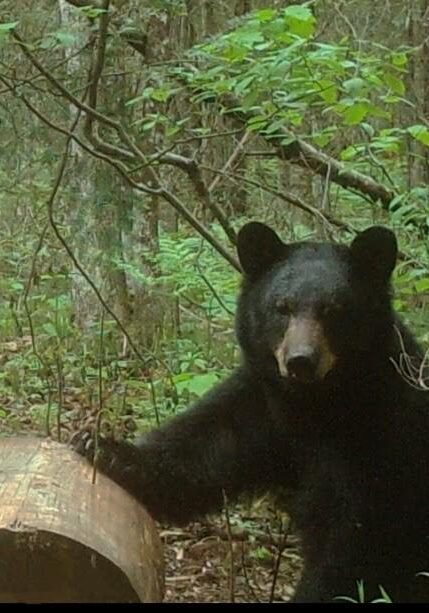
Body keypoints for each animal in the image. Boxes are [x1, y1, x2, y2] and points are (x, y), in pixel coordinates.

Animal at [72, 221, 428, 604]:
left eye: (334, 309)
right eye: (282, 306)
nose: (301, 360)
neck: (313, 405)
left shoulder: (383, 439)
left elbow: (356, 544)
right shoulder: (260, 406)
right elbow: (202, 448)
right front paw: (102, 446)